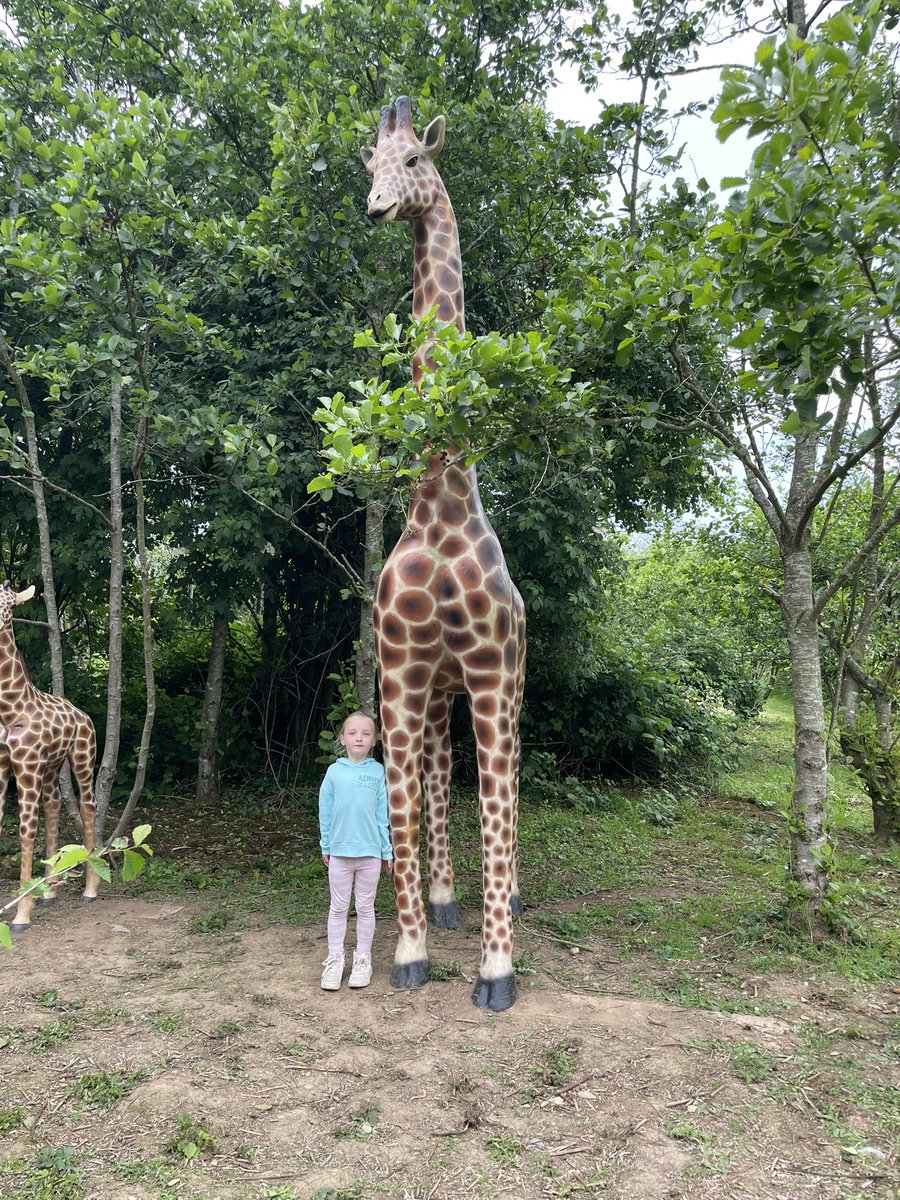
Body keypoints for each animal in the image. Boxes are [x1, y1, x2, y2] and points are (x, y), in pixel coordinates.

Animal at [0, 581, 99, 932]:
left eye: (8, 605)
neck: (9, 709)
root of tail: (83, 714)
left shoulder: (25, 766)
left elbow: (25, 831)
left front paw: (21, 915)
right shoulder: (3, 766)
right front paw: (33, 899)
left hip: (82, 755)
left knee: (87, 806)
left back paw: (90, 890)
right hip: (51, 767)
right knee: (54, 806)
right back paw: (49, 891)